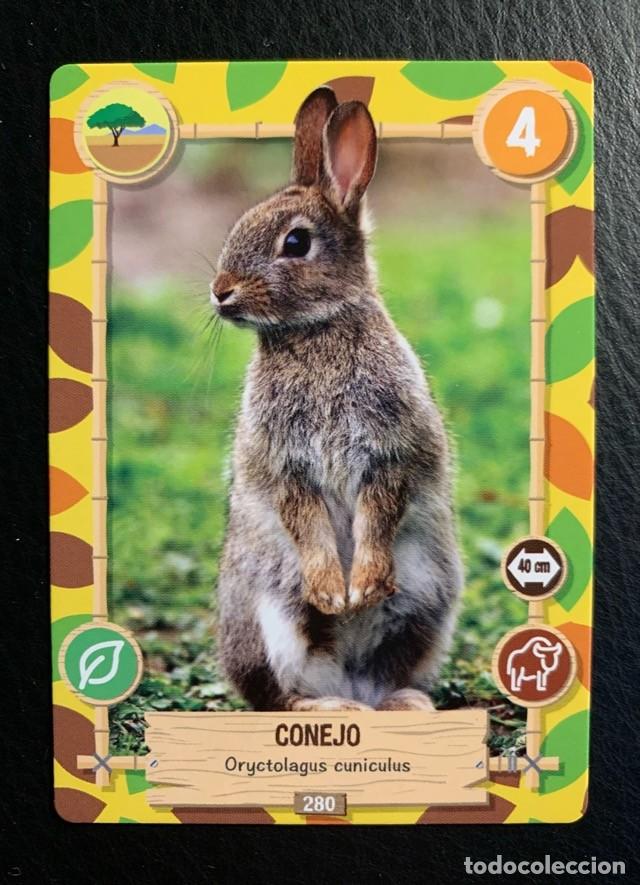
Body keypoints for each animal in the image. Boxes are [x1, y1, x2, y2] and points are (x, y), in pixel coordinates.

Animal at [211, 86, 463, 712]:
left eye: (296, 243)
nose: (220, 291)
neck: (315, 330)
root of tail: (346, 678)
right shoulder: (286, 466)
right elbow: (303, 519)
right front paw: (332, 594)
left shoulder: (391, 453)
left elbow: (381, 510)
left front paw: (363, 587)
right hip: (267, 616)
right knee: (279, 698)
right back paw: (331, 705)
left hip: (427, 606)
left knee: (388, 675)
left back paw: (400, 704)